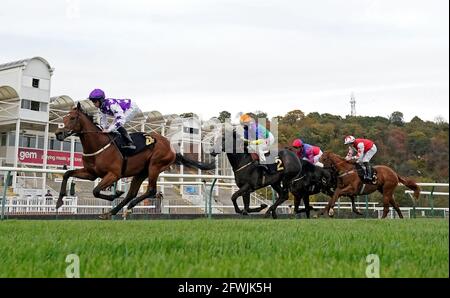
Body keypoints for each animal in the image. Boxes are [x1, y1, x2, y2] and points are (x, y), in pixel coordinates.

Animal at [54, 103, 216, 219]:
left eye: (72, 118)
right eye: (64, 118)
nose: (58, 133)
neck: (99, 145)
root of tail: (172, 149)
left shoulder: (113, 174)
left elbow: (95, 190)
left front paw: (115, 194)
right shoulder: (91, 173)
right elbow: (67, 174)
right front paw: (59, 202)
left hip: (154, 166)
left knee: (151, 190)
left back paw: (128, 207)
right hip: (141, 172)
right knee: (132, 193)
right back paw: (112, 212)